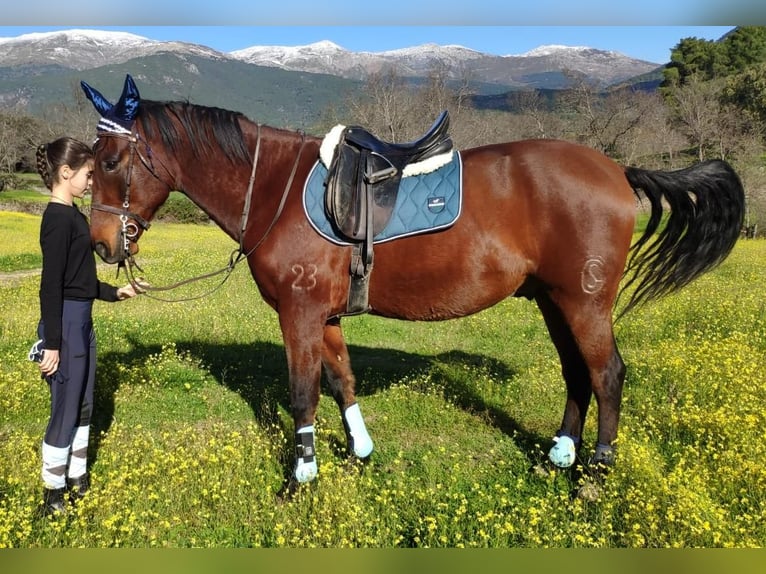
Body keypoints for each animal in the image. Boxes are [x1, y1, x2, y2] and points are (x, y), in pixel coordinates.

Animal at [80, 74, 745, 487]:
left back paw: (595, 477)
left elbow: (303, 393)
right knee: (577, 373)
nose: (103, 244)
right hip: (554, 301)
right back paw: (560, 455)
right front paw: (360, 454)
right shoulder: (325, 315)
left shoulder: (298, 314)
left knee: (607, 376)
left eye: (110, 161)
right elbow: (341, 382)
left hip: (584, 302)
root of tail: (617, 170)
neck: (273, 187)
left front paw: (301, 478)